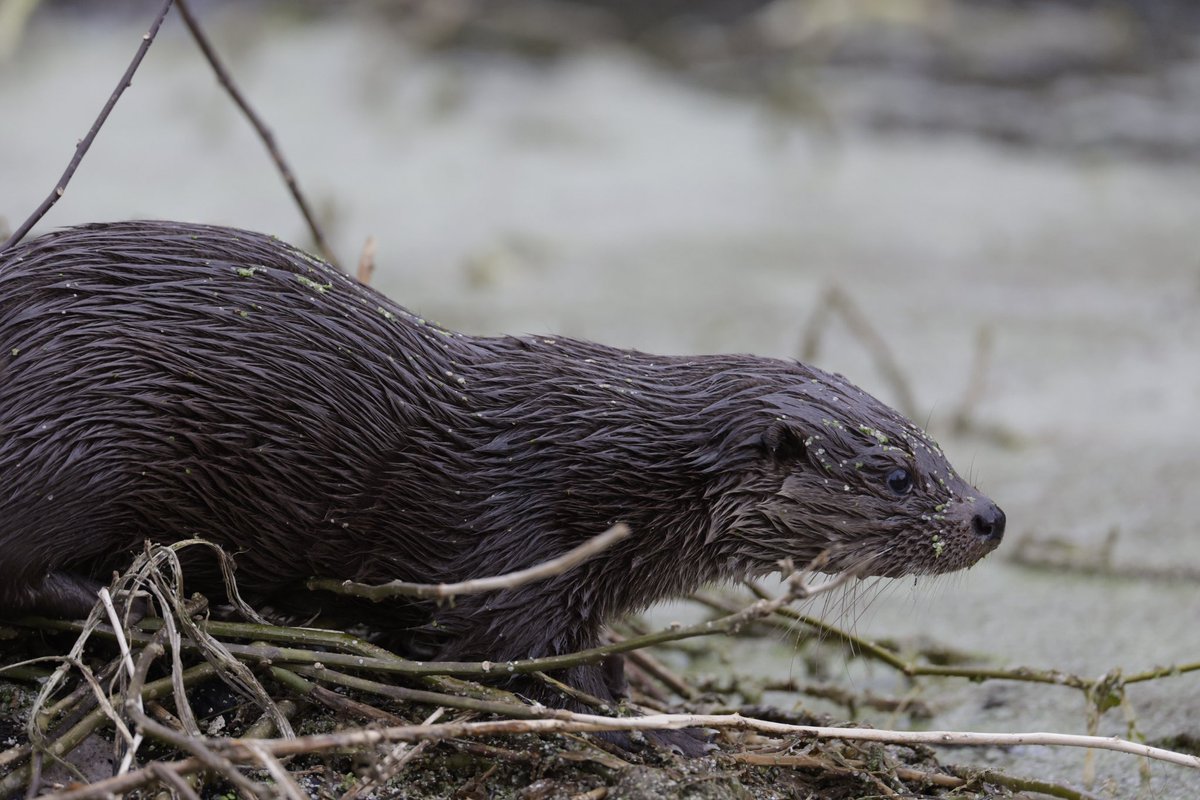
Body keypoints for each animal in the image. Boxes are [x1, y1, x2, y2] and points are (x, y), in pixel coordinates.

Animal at [0, 221, 1003, 745]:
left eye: (940, 451)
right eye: (896, 474)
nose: (990, 515)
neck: (600, 467)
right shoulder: (508, 552)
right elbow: (530, 666)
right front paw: (674, 727)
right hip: (61, 455)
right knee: (28, 577)